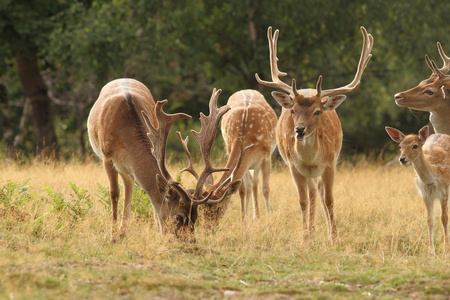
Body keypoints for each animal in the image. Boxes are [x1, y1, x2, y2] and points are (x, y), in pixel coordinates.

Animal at [89, 78, 243, 243]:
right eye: (179, 216)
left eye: (195, 216)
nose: (191, 241)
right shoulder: (107, 158)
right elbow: (114, 193)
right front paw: (112, 237)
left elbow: (152, 202)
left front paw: (160, 233)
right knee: (125, 187)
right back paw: (120, 232)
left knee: (129, 183)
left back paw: (124, 231)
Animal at [255, 26, 374, 241]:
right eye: (293, 110)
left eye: (317, 112)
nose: (299, 129)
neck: (310, 159)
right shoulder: (293, 166)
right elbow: (302, 200)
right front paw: (305, 237)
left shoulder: (330, 163)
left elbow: (329, 199)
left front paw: (334, 237)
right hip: (304, 171)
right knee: (311, 193)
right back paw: (311, 231)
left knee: (318, 192)